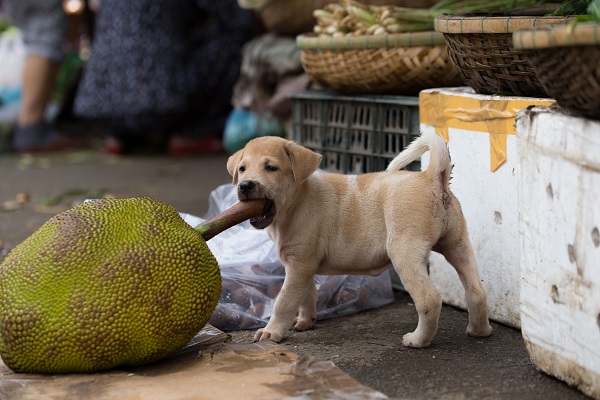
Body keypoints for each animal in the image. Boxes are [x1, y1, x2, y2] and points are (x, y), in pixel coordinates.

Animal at [225, 131, 492, 346]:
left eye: (271, 168)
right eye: (242, 169)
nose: (245, 185)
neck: (296, 202)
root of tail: (432, 178)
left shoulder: (298, 266)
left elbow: (284, 301)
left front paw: (272, 332)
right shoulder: (302, 266)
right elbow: (306, 296)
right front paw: (305, 321)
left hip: (404, 253)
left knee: (429, 299)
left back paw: (417, 340)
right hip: (458, 245)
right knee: (476, 292)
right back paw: (479, 330)